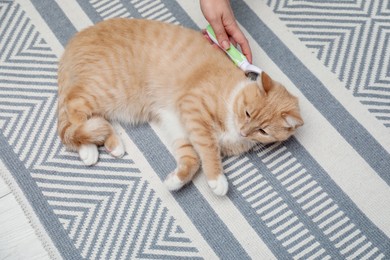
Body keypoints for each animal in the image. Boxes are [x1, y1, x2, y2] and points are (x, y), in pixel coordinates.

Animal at [58, 18, 304, 195]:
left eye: (262, 131)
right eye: (247, 113)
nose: (244, 131)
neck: (231, 99)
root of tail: (77, 38)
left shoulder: (179, 125)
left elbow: (192, 159)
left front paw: (175, 181)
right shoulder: (193, 109)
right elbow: (209, 150)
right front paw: (217, 180)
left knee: (88, 118)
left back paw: (103, 144)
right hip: (108, 89)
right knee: (73, 109)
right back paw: (89, 146)